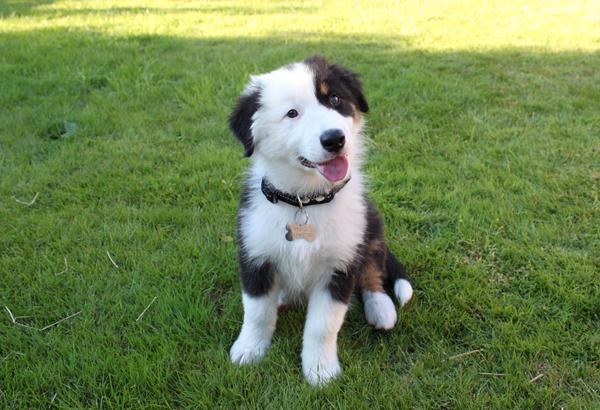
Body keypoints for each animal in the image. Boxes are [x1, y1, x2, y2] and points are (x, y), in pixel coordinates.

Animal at [229, 56, 412, 386]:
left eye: (335, 99)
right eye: (292, 113)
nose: (334, 139)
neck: (306, 200)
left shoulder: (339, 264)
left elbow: (323, 325)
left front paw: (320, 371)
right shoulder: (255, 255)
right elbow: (257, 312)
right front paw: (249, 350)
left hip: (370, 224)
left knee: (372, 269)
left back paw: (380, 308)